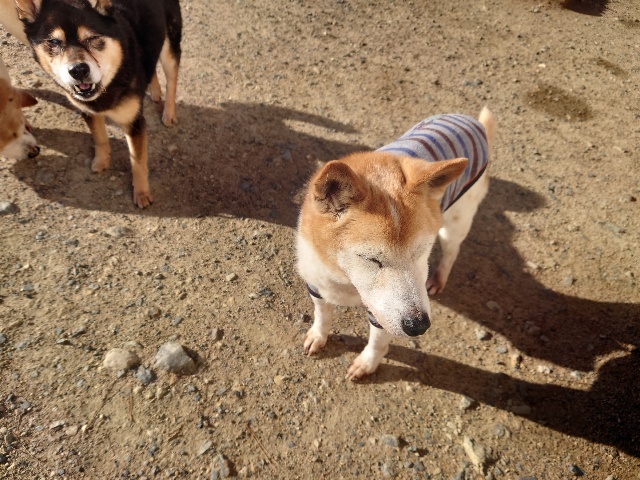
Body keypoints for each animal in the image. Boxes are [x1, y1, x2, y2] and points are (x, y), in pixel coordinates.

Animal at [14, 0, 182, 208]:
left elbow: (138, 161)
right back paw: (155, 91)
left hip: (170, 46)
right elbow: (100, 138)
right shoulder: (88, 112)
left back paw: (169, 113)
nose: (78, 70)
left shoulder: (134, 122)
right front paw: (101, 161)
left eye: (92, 38)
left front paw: (141, 193)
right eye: (53, 42)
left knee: (172, 80)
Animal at [297, 108, 495, 380]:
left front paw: (367, 364)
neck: (345, 280)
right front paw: (318, 336)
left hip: (456, 223)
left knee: (452, 251)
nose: (419, 326)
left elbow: (378, 342)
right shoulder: (317, 286)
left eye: (421, 251)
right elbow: (322, 315)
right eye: (371, 258)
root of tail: (472, 120)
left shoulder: (383, 316)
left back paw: (438, 279)